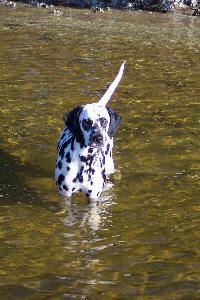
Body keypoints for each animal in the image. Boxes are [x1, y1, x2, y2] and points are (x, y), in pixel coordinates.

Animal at [55, 61, 125, 200]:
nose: (98, 138)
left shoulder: (94, 197)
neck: (85, 161)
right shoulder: (65, 194)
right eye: (86, 121)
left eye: (104, 121)